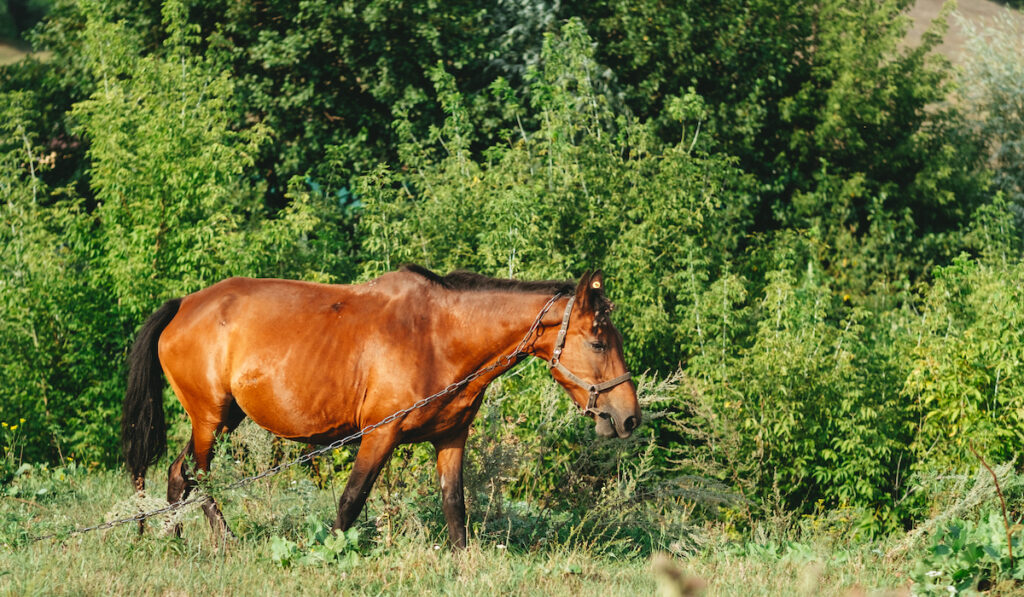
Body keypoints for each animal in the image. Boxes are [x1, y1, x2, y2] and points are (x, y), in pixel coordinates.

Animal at [119, 264, 638, 544]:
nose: (628, 418)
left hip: (221, 420)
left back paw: (176, 538)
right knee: (197, 477)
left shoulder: (451, 437)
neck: (437, 336)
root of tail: (184, 305)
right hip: (210, 418)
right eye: (598, 342)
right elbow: (351, 501)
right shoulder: (379, 434)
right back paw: (223, 541)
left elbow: (455, 506)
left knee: (178, 476)